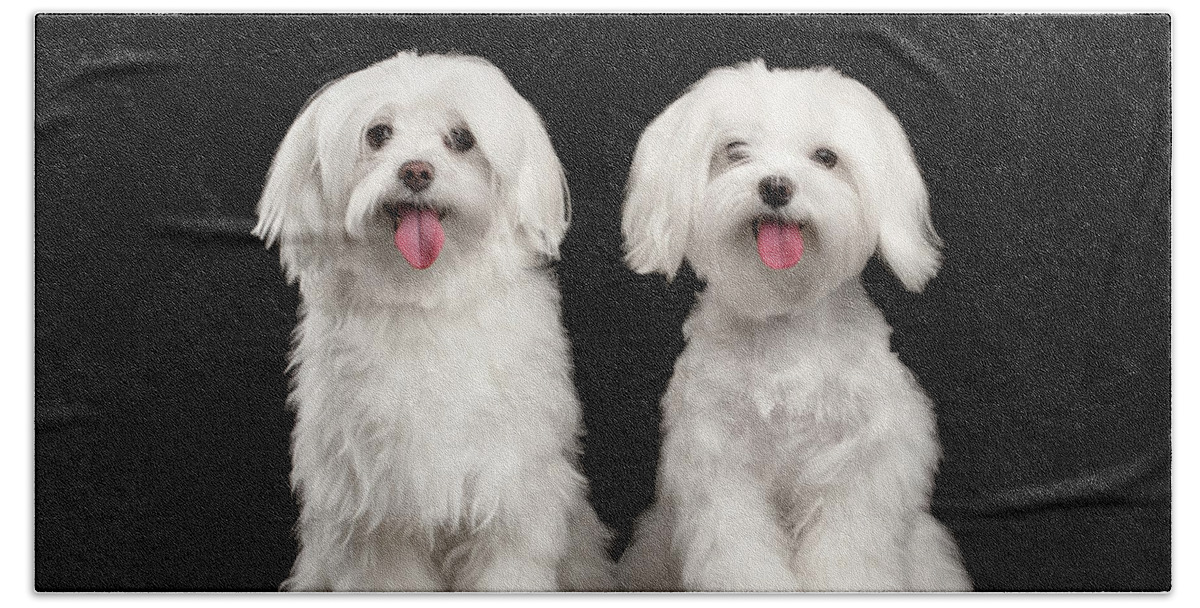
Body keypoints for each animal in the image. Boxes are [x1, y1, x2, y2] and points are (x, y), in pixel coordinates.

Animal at [249, 52, 614, 594]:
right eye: (378, 134)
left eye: (462, 138)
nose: (416, 170)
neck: (422, 294)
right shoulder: (379, 518)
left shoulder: (508, 497)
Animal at [614, 61, 969, 594]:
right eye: (735, 150)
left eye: (825, 157)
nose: (776, 186)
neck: (784, 314)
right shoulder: (719, 464)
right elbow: (738, 551)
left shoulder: (859, 463)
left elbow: (848, 553)